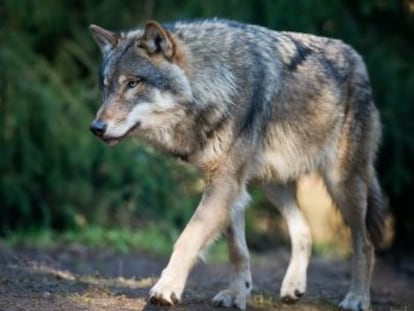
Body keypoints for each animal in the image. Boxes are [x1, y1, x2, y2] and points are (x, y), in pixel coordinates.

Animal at [89, 18, 384, 310]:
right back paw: (293, 287)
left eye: (132, 83)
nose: (96, 128)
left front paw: (166, 288)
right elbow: (237, 250)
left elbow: (188, 238)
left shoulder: (225, 183)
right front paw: (237, 293)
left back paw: (357, 298)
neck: (216, 83)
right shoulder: (231, 186)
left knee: (366, 244)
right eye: (106, 86)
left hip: (343, 184)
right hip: (274, 185)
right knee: (304, 232)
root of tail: (357, 57)